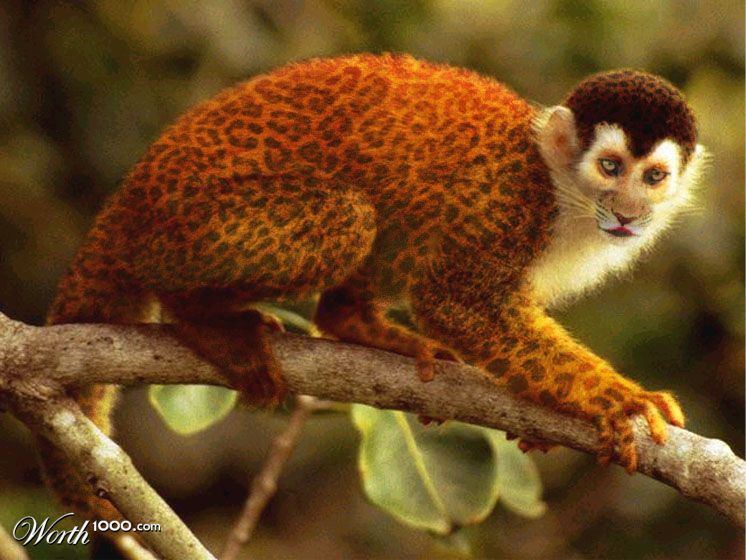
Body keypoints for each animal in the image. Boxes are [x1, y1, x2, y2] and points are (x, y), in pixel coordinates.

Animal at [43, 53, 706, 527]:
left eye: (653, 177)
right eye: (610, 168)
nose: (629, 212)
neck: (558, 188)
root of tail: (129, 200)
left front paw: (540, 419)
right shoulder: (503, 198)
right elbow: (456, 302)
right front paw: (617, 399)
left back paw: (351, 323)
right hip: (183, 234)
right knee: (349, 216)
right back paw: (200, 318)